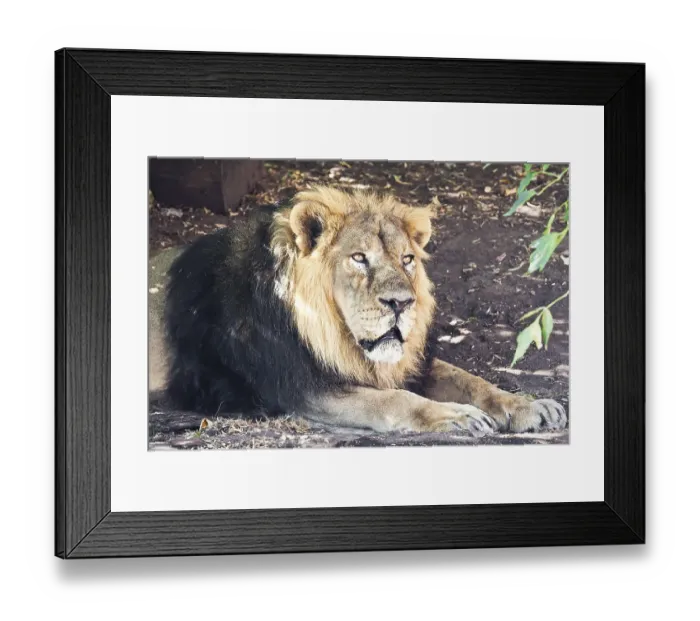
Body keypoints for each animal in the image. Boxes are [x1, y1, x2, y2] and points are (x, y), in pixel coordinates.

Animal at [155, 186, 567, 437]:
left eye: (407, 260)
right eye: (358, 258)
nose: (401, 303)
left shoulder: (409, 365)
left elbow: (471, 380)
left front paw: (530, 406)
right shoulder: (303, 388)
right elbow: (393, 400)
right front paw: (456, 415)